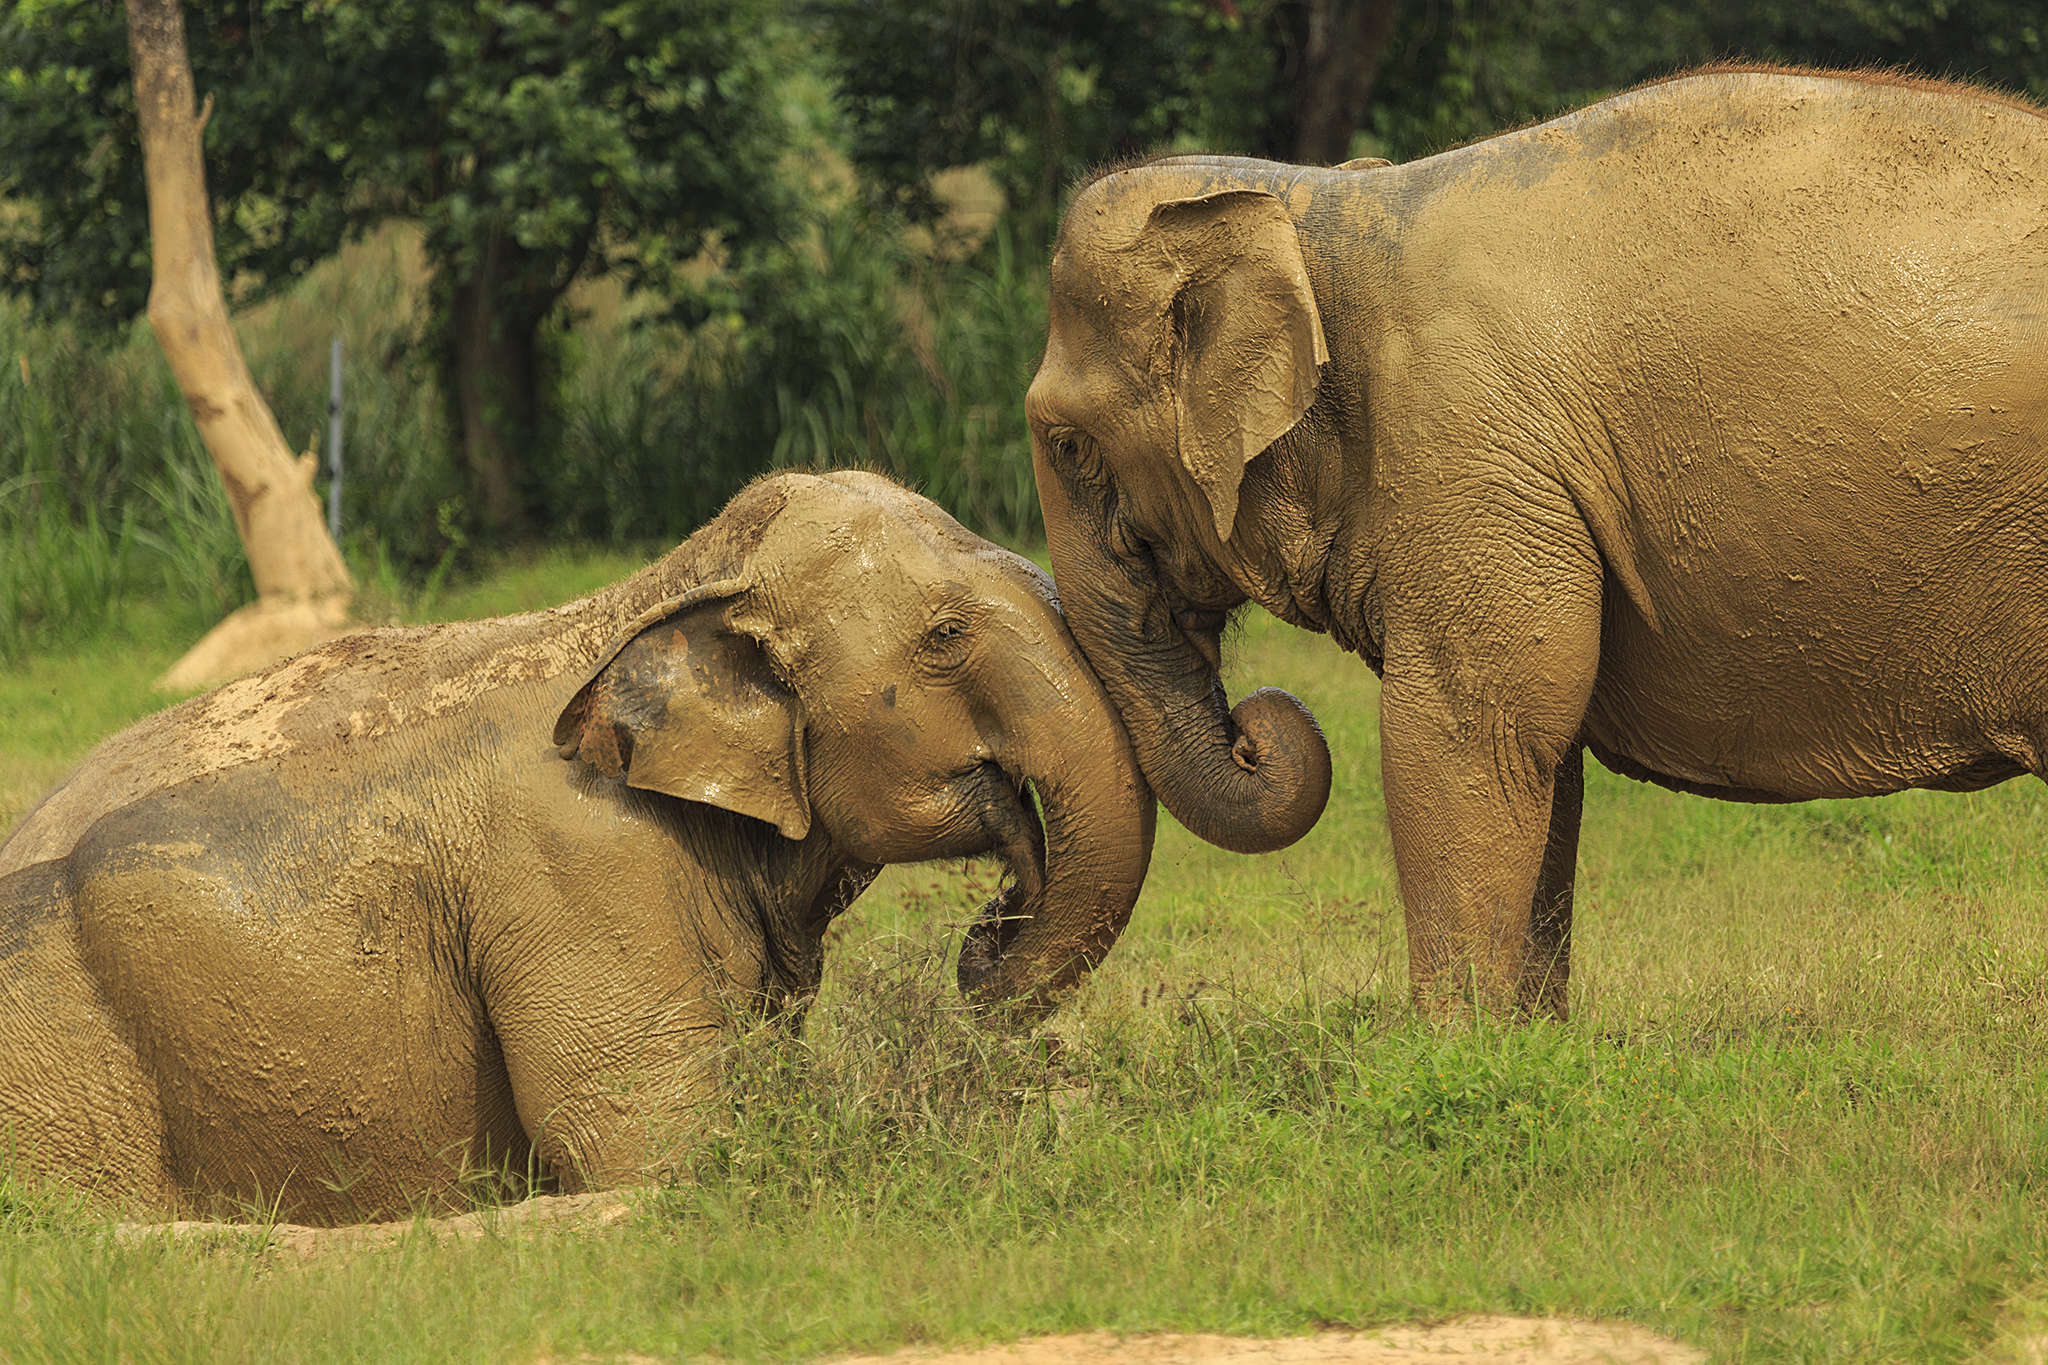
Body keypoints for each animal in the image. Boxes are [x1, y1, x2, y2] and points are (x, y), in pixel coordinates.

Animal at [1026, 64, 2048, 1018]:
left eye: (1068, 444)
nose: (1252, 734)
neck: (1324, 214)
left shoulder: (1468, 447)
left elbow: (1474, 726)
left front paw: (1445, 1046)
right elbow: (1544, 761)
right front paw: (1523, 1044)